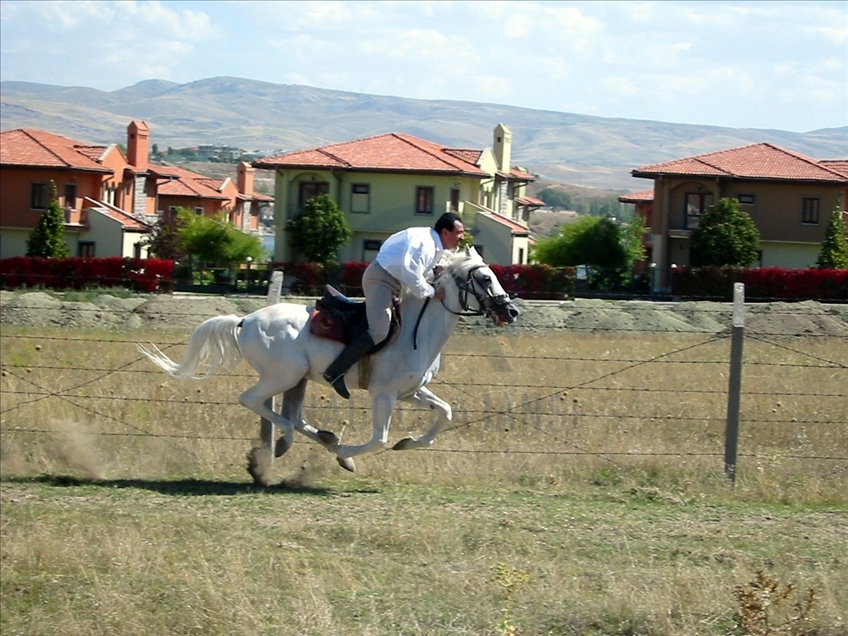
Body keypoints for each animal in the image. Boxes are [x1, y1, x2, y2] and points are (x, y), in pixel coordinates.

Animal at [137, 247, 516, 472]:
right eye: (485, 278)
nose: (511, 311)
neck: (417, 330)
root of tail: (245, 320)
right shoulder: (384, 395)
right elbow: (379, 438)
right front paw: (348, 454)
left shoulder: (411, 392)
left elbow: (445, 412)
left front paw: (408, 443)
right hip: (283, 376)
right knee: (255, 402)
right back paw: (289, 442)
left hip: (299, 380)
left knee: (294, 415)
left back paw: (322, 440)